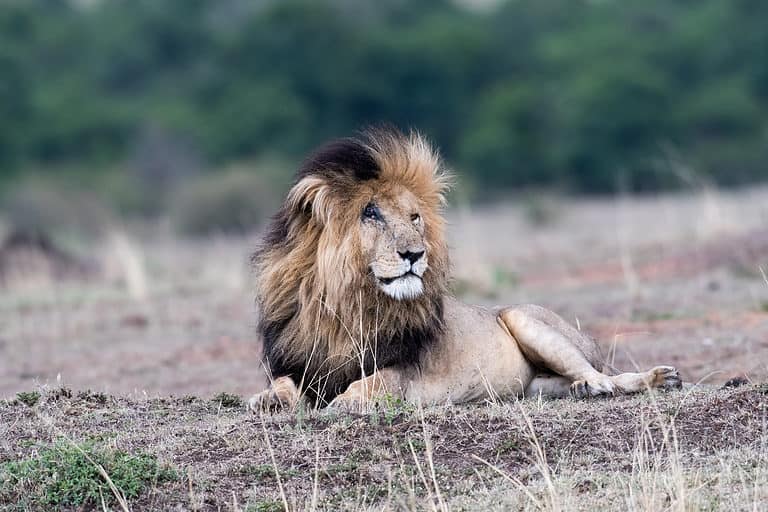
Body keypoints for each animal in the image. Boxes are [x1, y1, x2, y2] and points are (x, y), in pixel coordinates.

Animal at [248, 128, 681, 412]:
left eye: (415, 217)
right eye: (371, 213)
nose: (414, 254)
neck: (343, 303)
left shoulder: (404, 369)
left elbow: (373, 382)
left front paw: (345, 402)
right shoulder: (300, 363)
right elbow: (284, 384)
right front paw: (267, 399)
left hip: (525, 318)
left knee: (607, 376)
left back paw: (644, 380)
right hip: (532, 387)